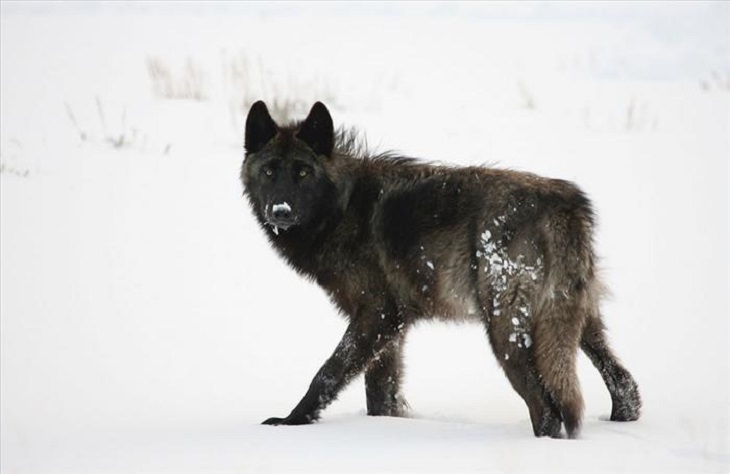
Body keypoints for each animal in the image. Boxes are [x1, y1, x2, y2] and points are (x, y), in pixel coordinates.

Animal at [240, 102, 636, 438]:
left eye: (303, 172)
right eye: (270, 171)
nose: (280, 210)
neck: (342, 208)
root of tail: (565, 204)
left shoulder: (377, 315)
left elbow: (328, 373)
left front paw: (291, 422)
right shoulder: (392, 328)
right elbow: (380, 394)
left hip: (506, 332)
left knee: (548, 409)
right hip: (576, 323)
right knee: (625, 384)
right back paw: (621, 418)